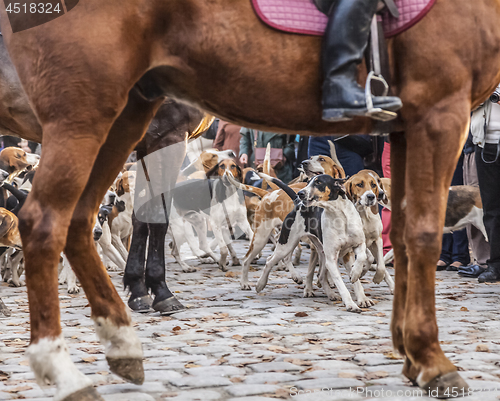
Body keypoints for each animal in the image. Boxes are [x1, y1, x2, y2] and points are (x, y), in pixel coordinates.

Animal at [0, 0, 500, 398]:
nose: (303, 177)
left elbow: (379, 255)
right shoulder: (440, 110)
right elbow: (419, 236)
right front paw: (430, 358)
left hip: (121, 117)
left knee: (81, 220)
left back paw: (121, 338)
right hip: (85, 113)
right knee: (49, 221)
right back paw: (64, 364)